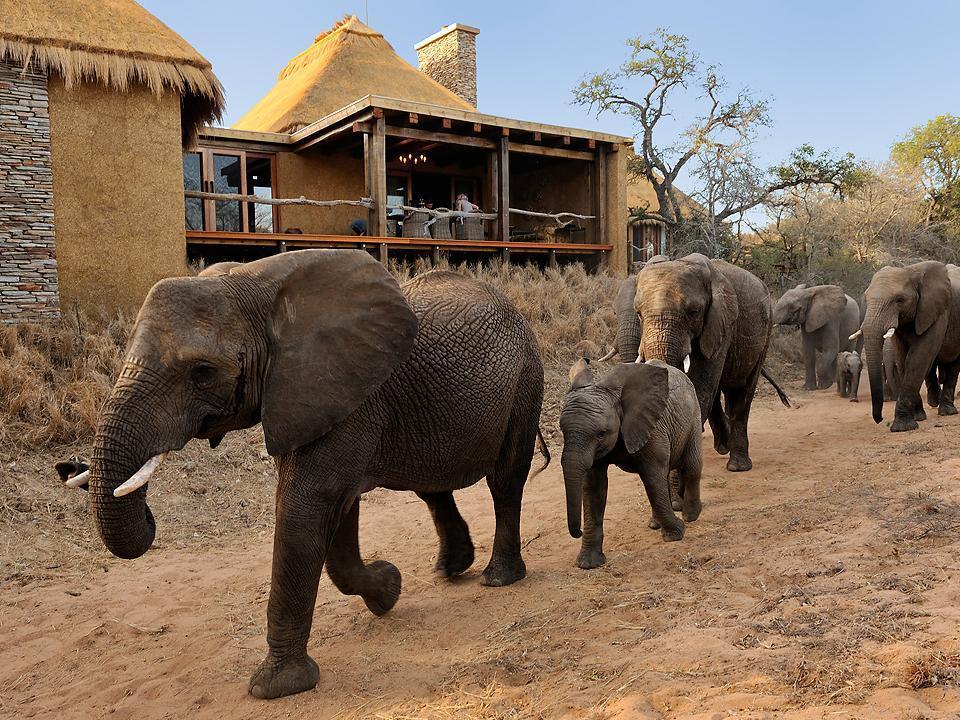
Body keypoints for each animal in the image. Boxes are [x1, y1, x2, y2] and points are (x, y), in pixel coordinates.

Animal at [65, 252, 548, 696]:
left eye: (202, 372)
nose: (70, 466)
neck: (256, 288)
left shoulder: (341, 393)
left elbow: (306, 507)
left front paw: (277, 687)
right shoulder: (312, 400)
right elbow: (336, 514)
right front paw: (388, 589)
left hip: (527, 378)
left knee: (505, 479)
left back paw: (498, 577)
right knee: (432, 488)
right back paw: (450, 569)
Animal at [560, 354, 700, 568]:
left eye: (601, 433)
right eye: (562, 431)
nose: (579, 531)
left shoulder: (652, 428)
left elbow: (652, 477)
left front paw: (677, 533)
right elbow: (594, 488)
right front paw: (588, 564)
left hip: (693, 417)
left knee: (691, 466)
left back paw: (691, 516)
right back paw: (655, 524)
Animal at [620, 253, 776, 472]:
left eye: (694, 312)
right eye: (639, 313)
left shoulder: (721, 324)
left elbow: (702, 388)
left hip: (766, 329)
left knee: (741, 392)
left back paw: (738, 466)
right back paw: (723, 447)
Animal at [864, 262, 960, 430]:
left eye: (899, 300)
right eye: (866, 298)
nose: (879, 419)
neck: (909, 270)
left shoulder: (938, 312)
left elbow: (918, 358)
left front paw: (902, 427)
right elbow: (903, 360)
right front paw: (918, 417)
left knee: (954, 364)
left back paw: (947, 411)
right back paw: (934, 401)